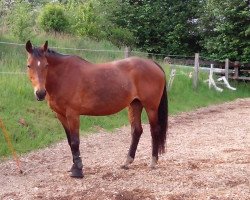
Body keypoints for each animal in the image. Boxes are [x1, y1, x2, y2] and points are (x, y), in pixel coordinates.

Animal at [25, 40, 168, 178]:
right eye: (29, 65)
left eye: (46, 65)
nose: (40, 93)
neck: (63, 76)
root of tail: (153, 63)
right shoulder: (61, 115)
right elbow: (70, 141)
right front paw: (74, 167)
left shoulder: (72, 114)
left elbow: (75, 142)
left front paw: (78, 170)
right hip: (134, 105)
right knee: (137, 131)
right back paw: (127, 162)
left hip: (151, 107)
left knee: (154, 130)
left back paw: (153, 162)